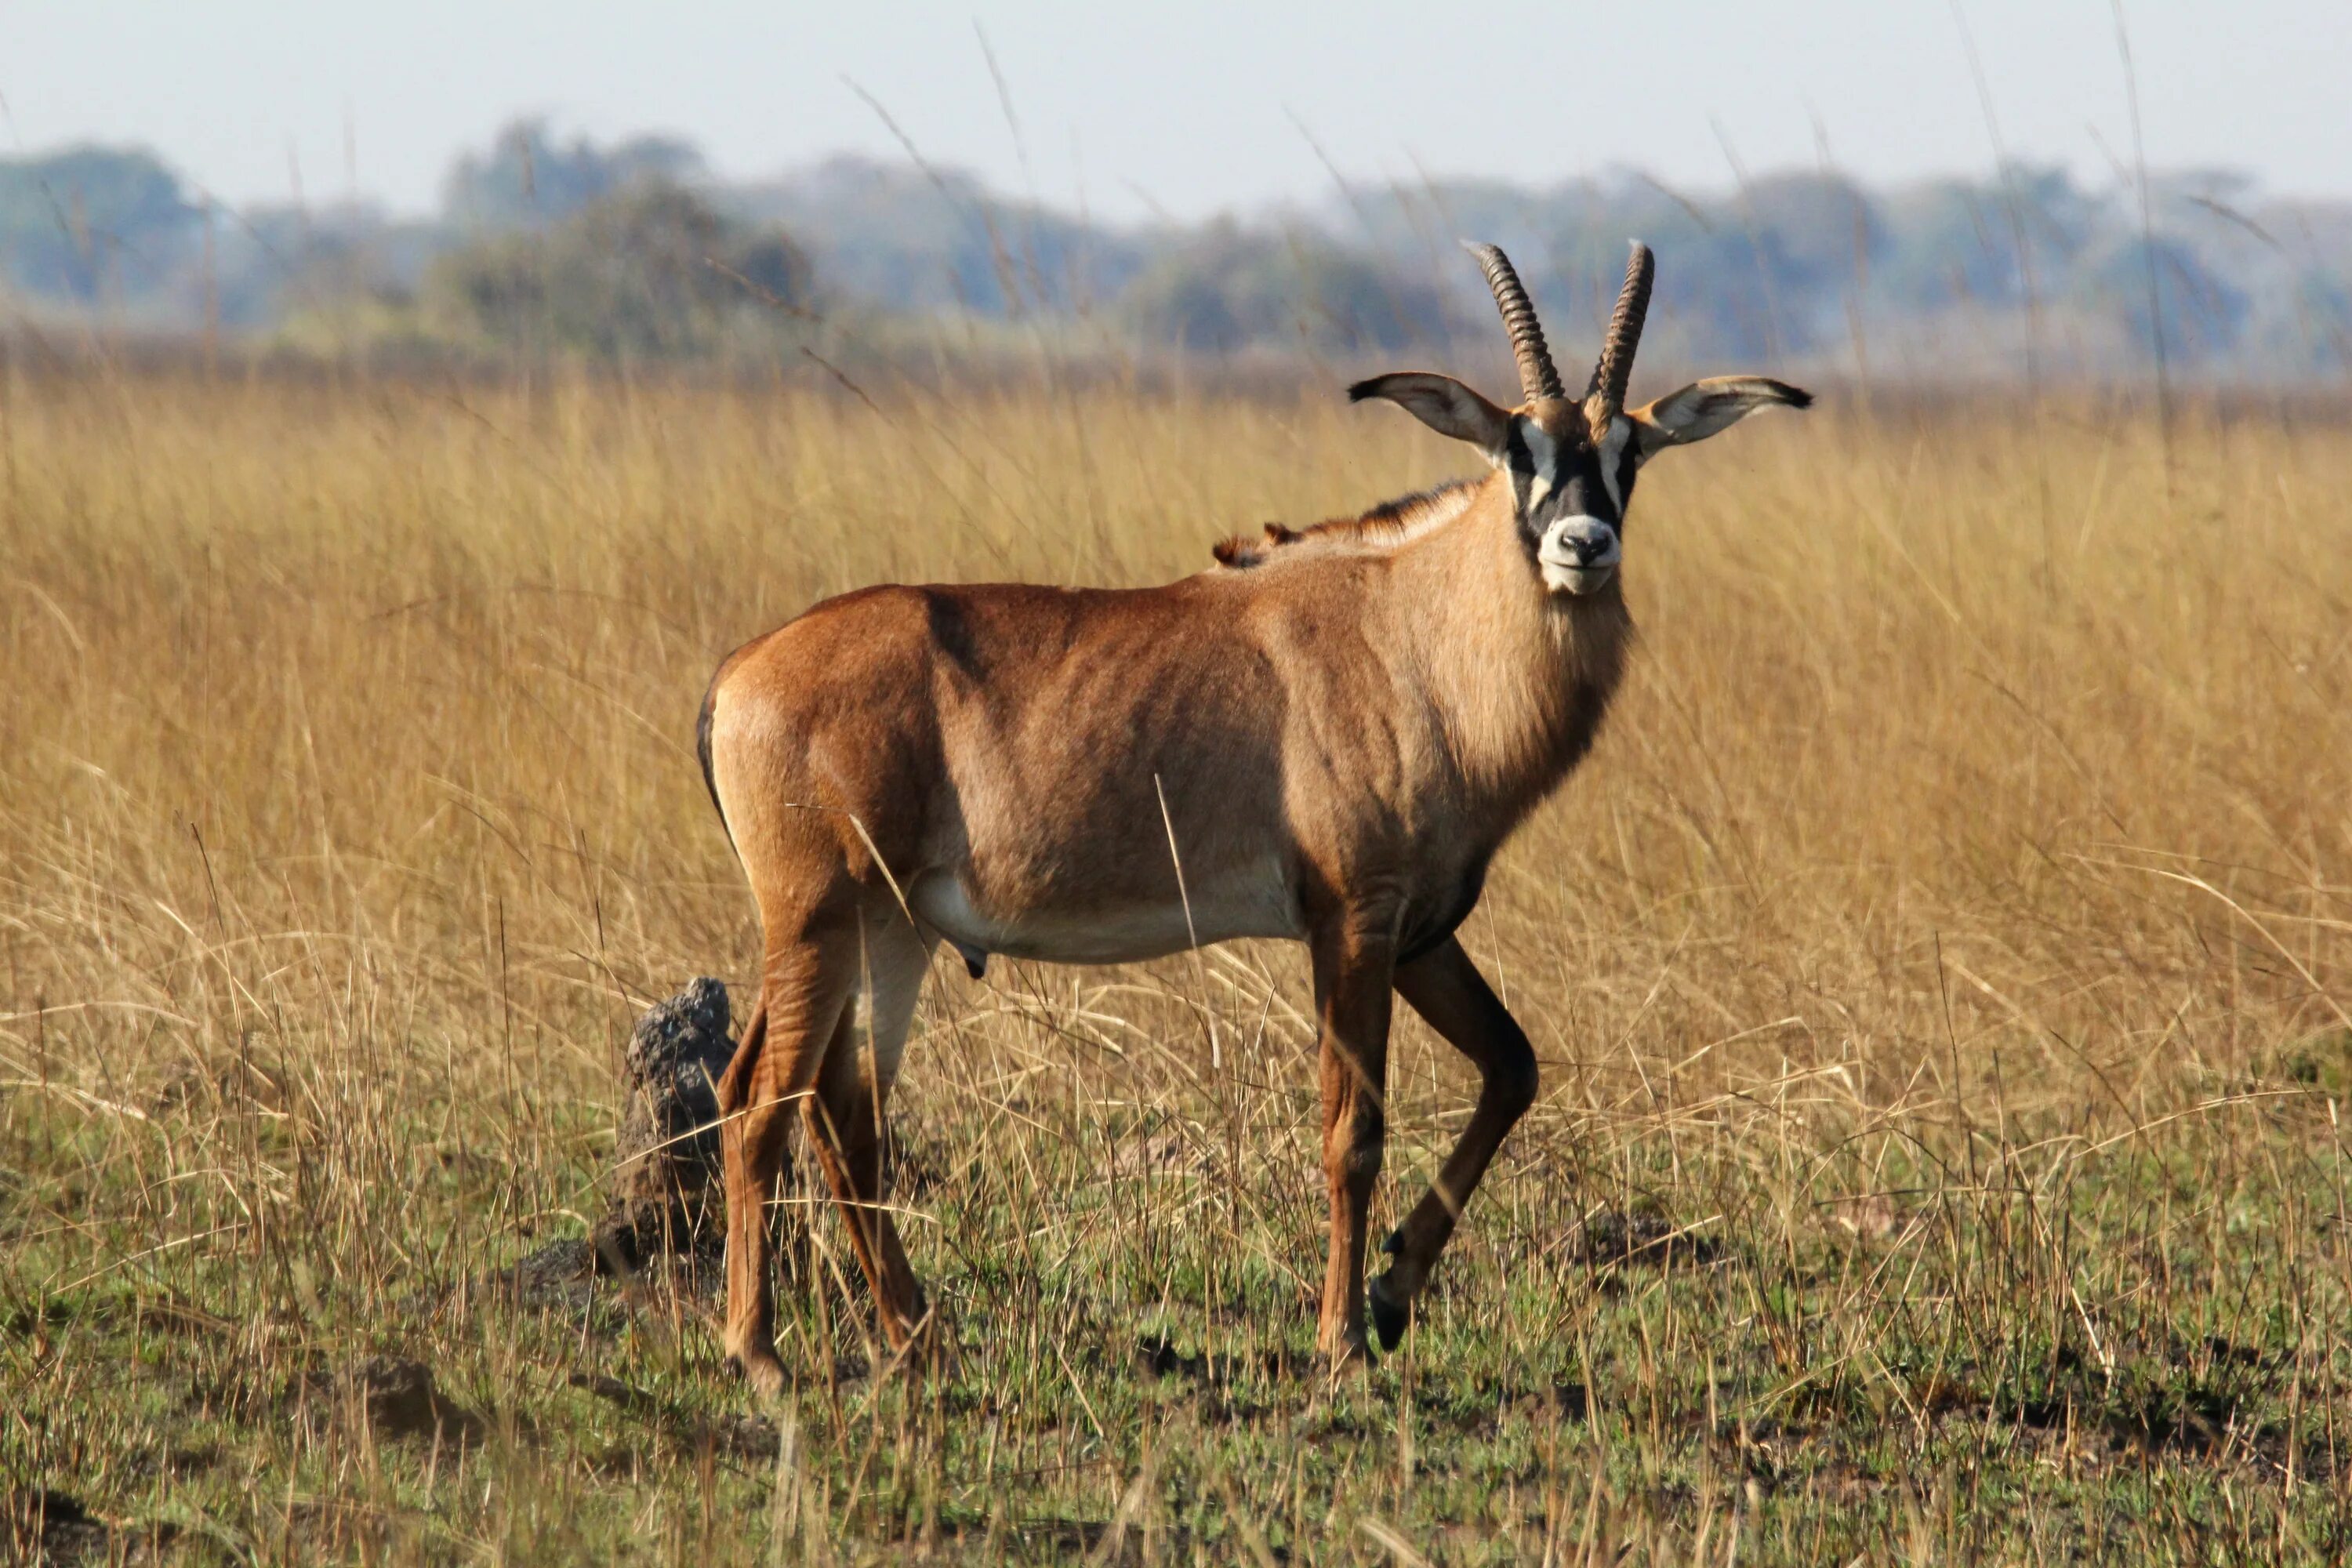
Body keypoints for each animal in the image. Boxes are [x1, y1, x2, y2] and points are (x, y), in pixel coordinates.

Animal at [691, 239, 1797, 1392]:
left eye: (1631, 450)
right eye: (1515, 447)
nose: (1582, 545)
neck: (1413, 633)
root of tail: (736, 676)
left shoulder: (1419, 933)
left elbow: (1513, 1067)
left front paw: (1395, 1293)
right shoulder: (1352, 920)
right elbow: (1353, 1129)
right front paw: (1342, 1339)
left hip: (888, 930)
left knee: (835, 1106)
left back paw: (917, 1335)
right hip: (819, 921)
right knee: (764, 1104)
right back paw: (760, 1352)